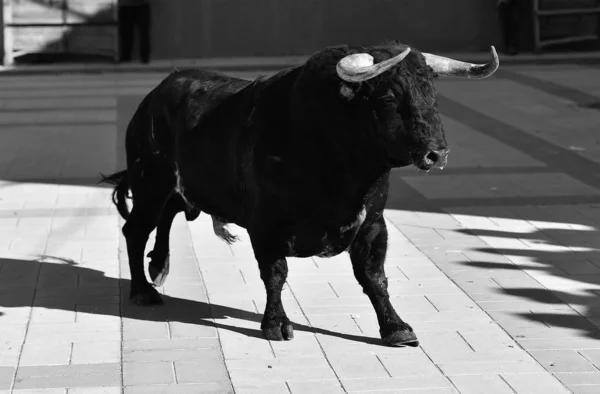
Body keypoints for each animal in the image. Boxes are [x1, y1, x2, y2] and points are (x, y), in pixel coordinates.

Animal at [102, 41, 496, 346]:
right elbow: (275, 274)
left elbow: (374, 277)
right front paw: (276, 324)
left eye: (432, 94)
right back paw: (143, 290)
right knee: (136, 229)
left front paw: (396, 327)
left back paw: (159, 266)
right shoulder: (266, 226)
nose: (437, 153)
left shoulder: (373, 224)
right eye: (387, 97)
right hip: (151, 181)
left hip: (175, 185)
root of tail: (157, 92)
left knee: (166, 215)